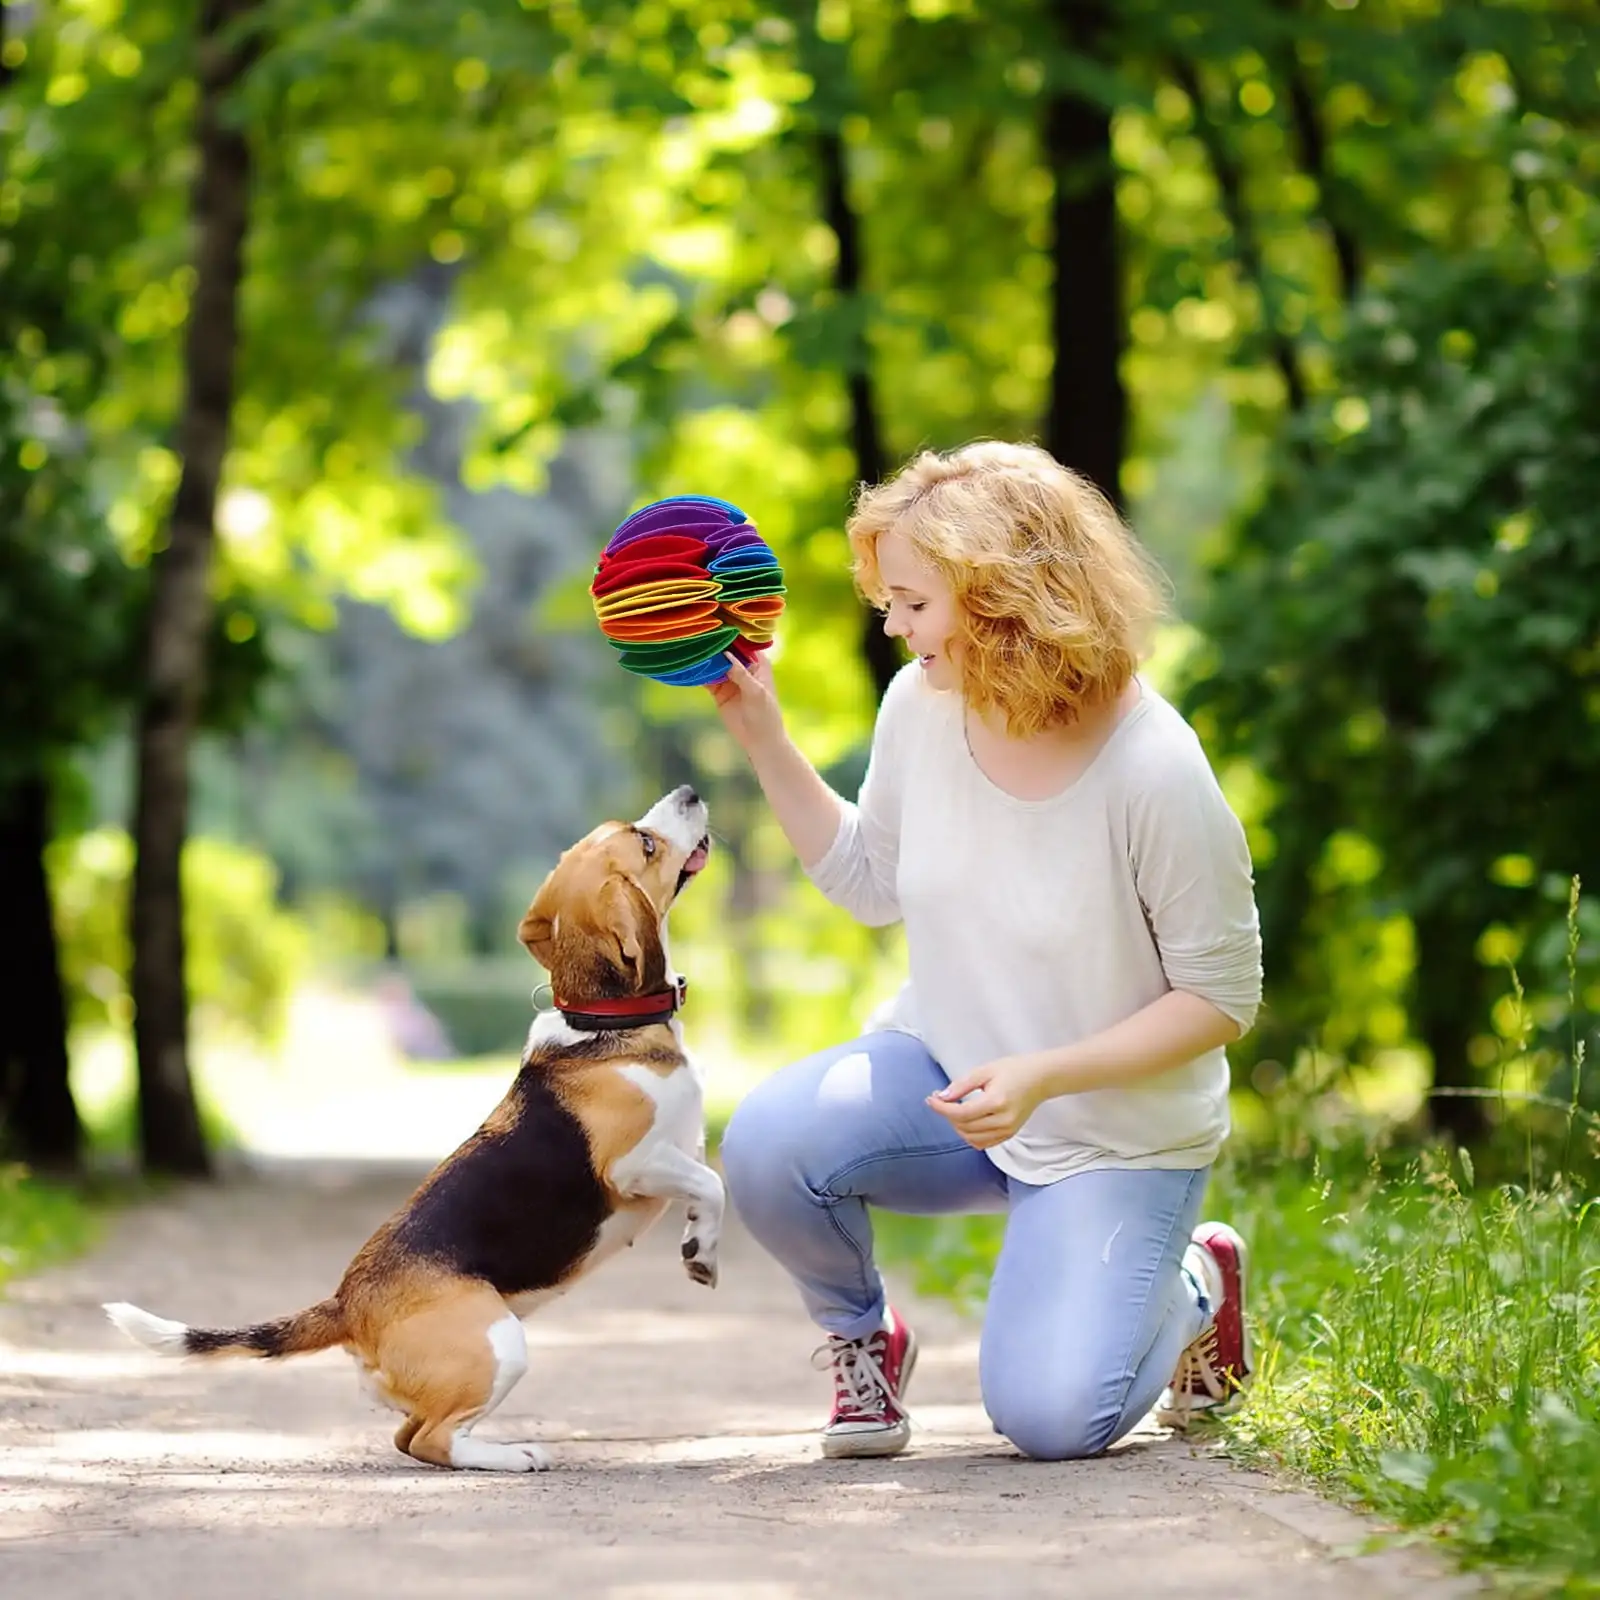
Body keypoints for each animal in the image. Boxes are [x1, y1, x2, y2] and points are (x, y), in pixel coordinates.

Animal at [103, 787, 723, 1472]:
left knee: (410, 1437)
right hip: (500, 1343)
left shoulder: (681, 1150)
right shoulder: (634, 1164)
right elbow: (713, 1182)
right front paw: (702, 1251)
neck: (603, 1023)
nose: (690, 793)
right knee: (433, 1439)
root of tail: (347, 1305)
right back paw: (514, 1455)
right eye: (645, 843)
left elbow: (705, 1184)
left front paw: (698, 1244)